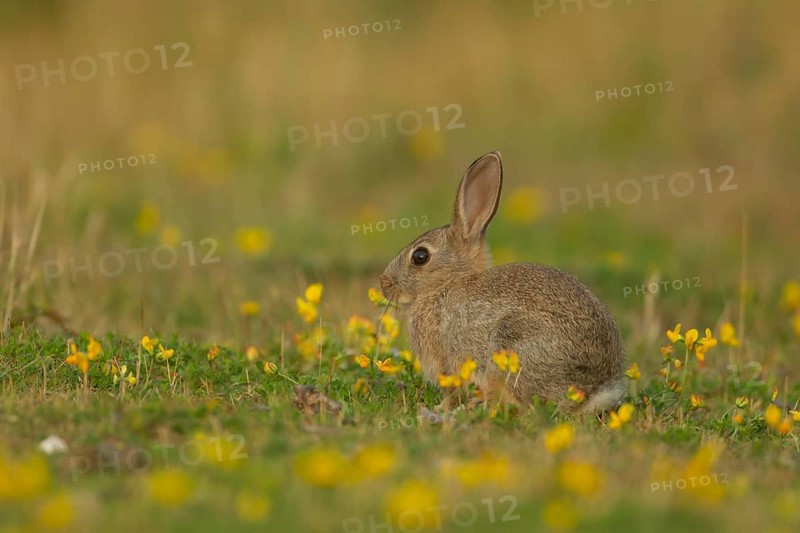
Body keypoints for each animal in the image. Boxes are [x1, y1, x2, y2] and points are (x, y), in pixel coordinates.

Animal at [379, 151, 625, 413]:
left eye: (420, 256)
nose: (384, 283)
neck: (446, 285)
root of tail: (598, 390)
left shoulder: (448, 359)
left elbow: (452, 391)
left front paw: (439, 409)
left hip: (509, 344)